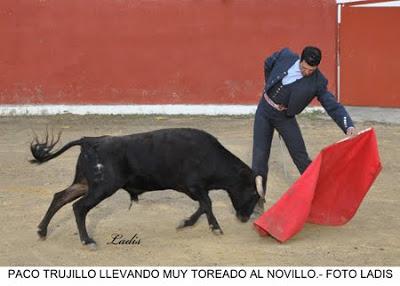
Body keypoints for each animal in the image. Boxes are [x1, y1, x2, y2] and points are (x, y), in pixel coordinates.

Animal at [29, 127, 264, 248]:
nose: (244, 218)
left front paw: (185, 223)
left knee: (60, 197)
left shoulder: (193, 189)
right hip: (102, 187)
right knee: (78, 207)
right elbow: (207, 204)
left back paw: (41, 231)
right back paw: (87, 241)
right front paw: (215, 228)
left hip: (85, 183)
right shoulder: (195, 186)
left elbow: (203, 206)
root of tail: (90, 141)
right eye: (253, 193)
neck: (211, 156)